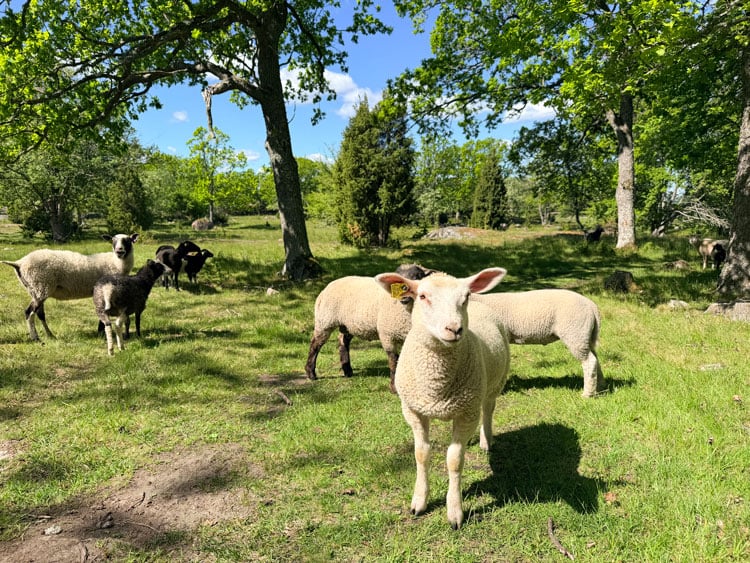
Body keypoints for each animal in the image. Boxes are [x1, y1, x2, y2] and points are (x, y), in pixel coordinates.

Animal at [2, 234, 138, 341]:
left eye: (127, 240)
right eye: (113, 240)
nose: (119, 251)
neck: (115, 263)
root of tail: (19, 263)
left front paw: (100, 332)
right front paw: (102, 333)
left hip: (36, 290)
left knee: (40, 313)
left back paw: (50, 335)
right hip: (40, 286)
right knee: (29, 312)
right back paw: (35, 337)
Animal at [304, 264, 434, 393]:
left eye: (417, 276)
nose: (403, 292)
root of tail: (330, 284)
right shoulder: (387, 335)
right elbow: (393, 361)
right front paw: (394, 388)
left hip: (348, 324)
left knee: (343, 341)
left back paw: (348, 371)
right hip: (325, 321)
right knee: (315, 344)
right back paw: (311, 373)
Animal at [374, 268, 510, 529]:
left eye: (465, 297)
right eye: (422, 296)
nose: (454, 329)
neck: (436, 387)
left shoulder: (466, 412)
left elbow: (454, 460)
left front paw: (454, 512)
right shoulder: (413, 410)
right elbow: (421, 454)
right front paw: (419, 502)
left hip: (492, 385)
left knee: (488, 410)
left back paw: (485, 440)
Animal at [472, 289, 605, 398]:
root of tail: (592, 306)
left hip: (575, 333)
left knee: (589, 361)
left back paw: (587, 394)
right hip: (585, 336)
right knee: (595, 358)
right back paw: (600, 388)